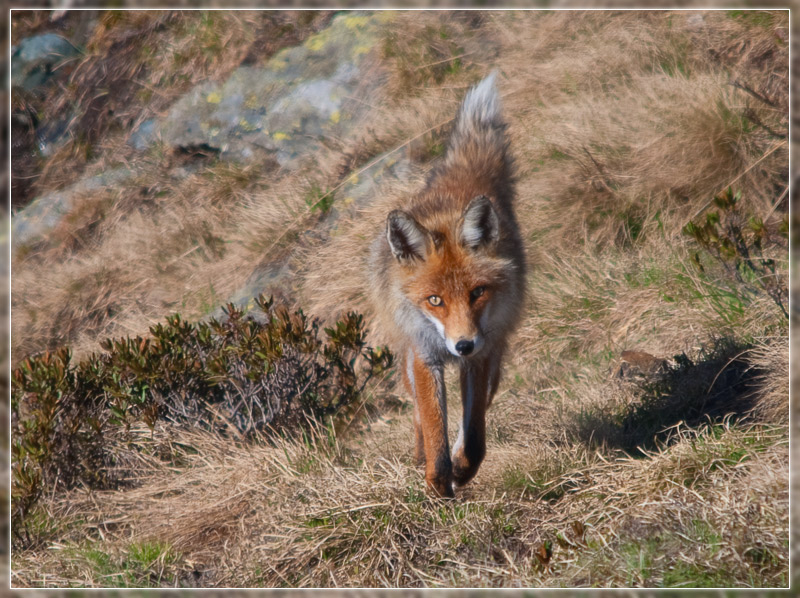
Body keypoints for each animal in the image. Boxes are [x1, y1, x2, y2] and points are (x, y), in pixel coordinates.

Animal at [368, 72, 526, 498]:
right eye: (434, 299)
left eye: (477, 292)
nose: (463, 345)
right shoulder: (424, 354)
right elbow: (433, 423)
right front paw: (438, 482)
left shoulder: (483, 356)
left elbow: (473, 438)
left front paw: (461, 469)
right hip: (408, 359)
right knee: (418, 417)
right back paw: (420, 455)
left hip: (496, 356)